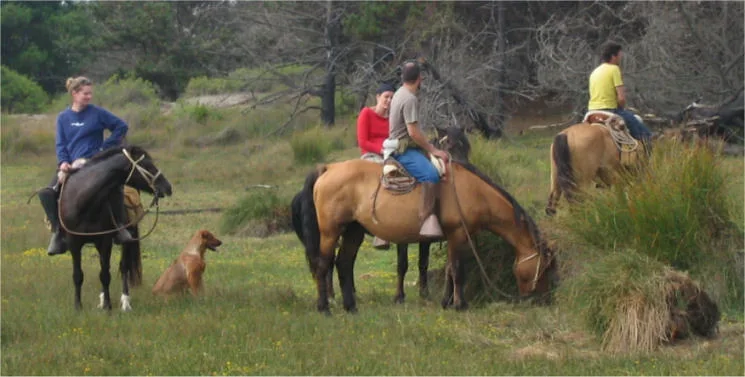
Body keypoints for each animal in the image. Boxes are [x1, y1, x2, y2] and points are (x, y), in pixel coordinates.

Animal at [58, 145, 173, 310]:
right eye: (147, 165)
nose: (168, 187)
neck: (84, 201)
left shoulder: (105, 241)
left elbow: (105, 275)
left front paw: (108, 306)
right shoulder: (74, 243)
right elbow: (78, 275)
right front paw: (78, 306)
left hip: (127, 238)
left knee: (124, 266)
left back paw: (125, 302)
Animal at [294, 155, 556, 312]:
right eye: (543, 268)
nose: (542, 300)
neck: (474, 192)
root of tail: (328, 168)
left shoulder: (454, 237)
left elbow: (450, 269)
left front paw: (446, 302)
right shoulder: (457, 234)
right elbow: (458, 270)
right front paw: (460, 305)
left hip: (353, 231)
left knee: (344, 263)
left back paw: (351, 307)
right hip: (330, 231)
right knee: (323, 264)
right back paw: (324, 308)